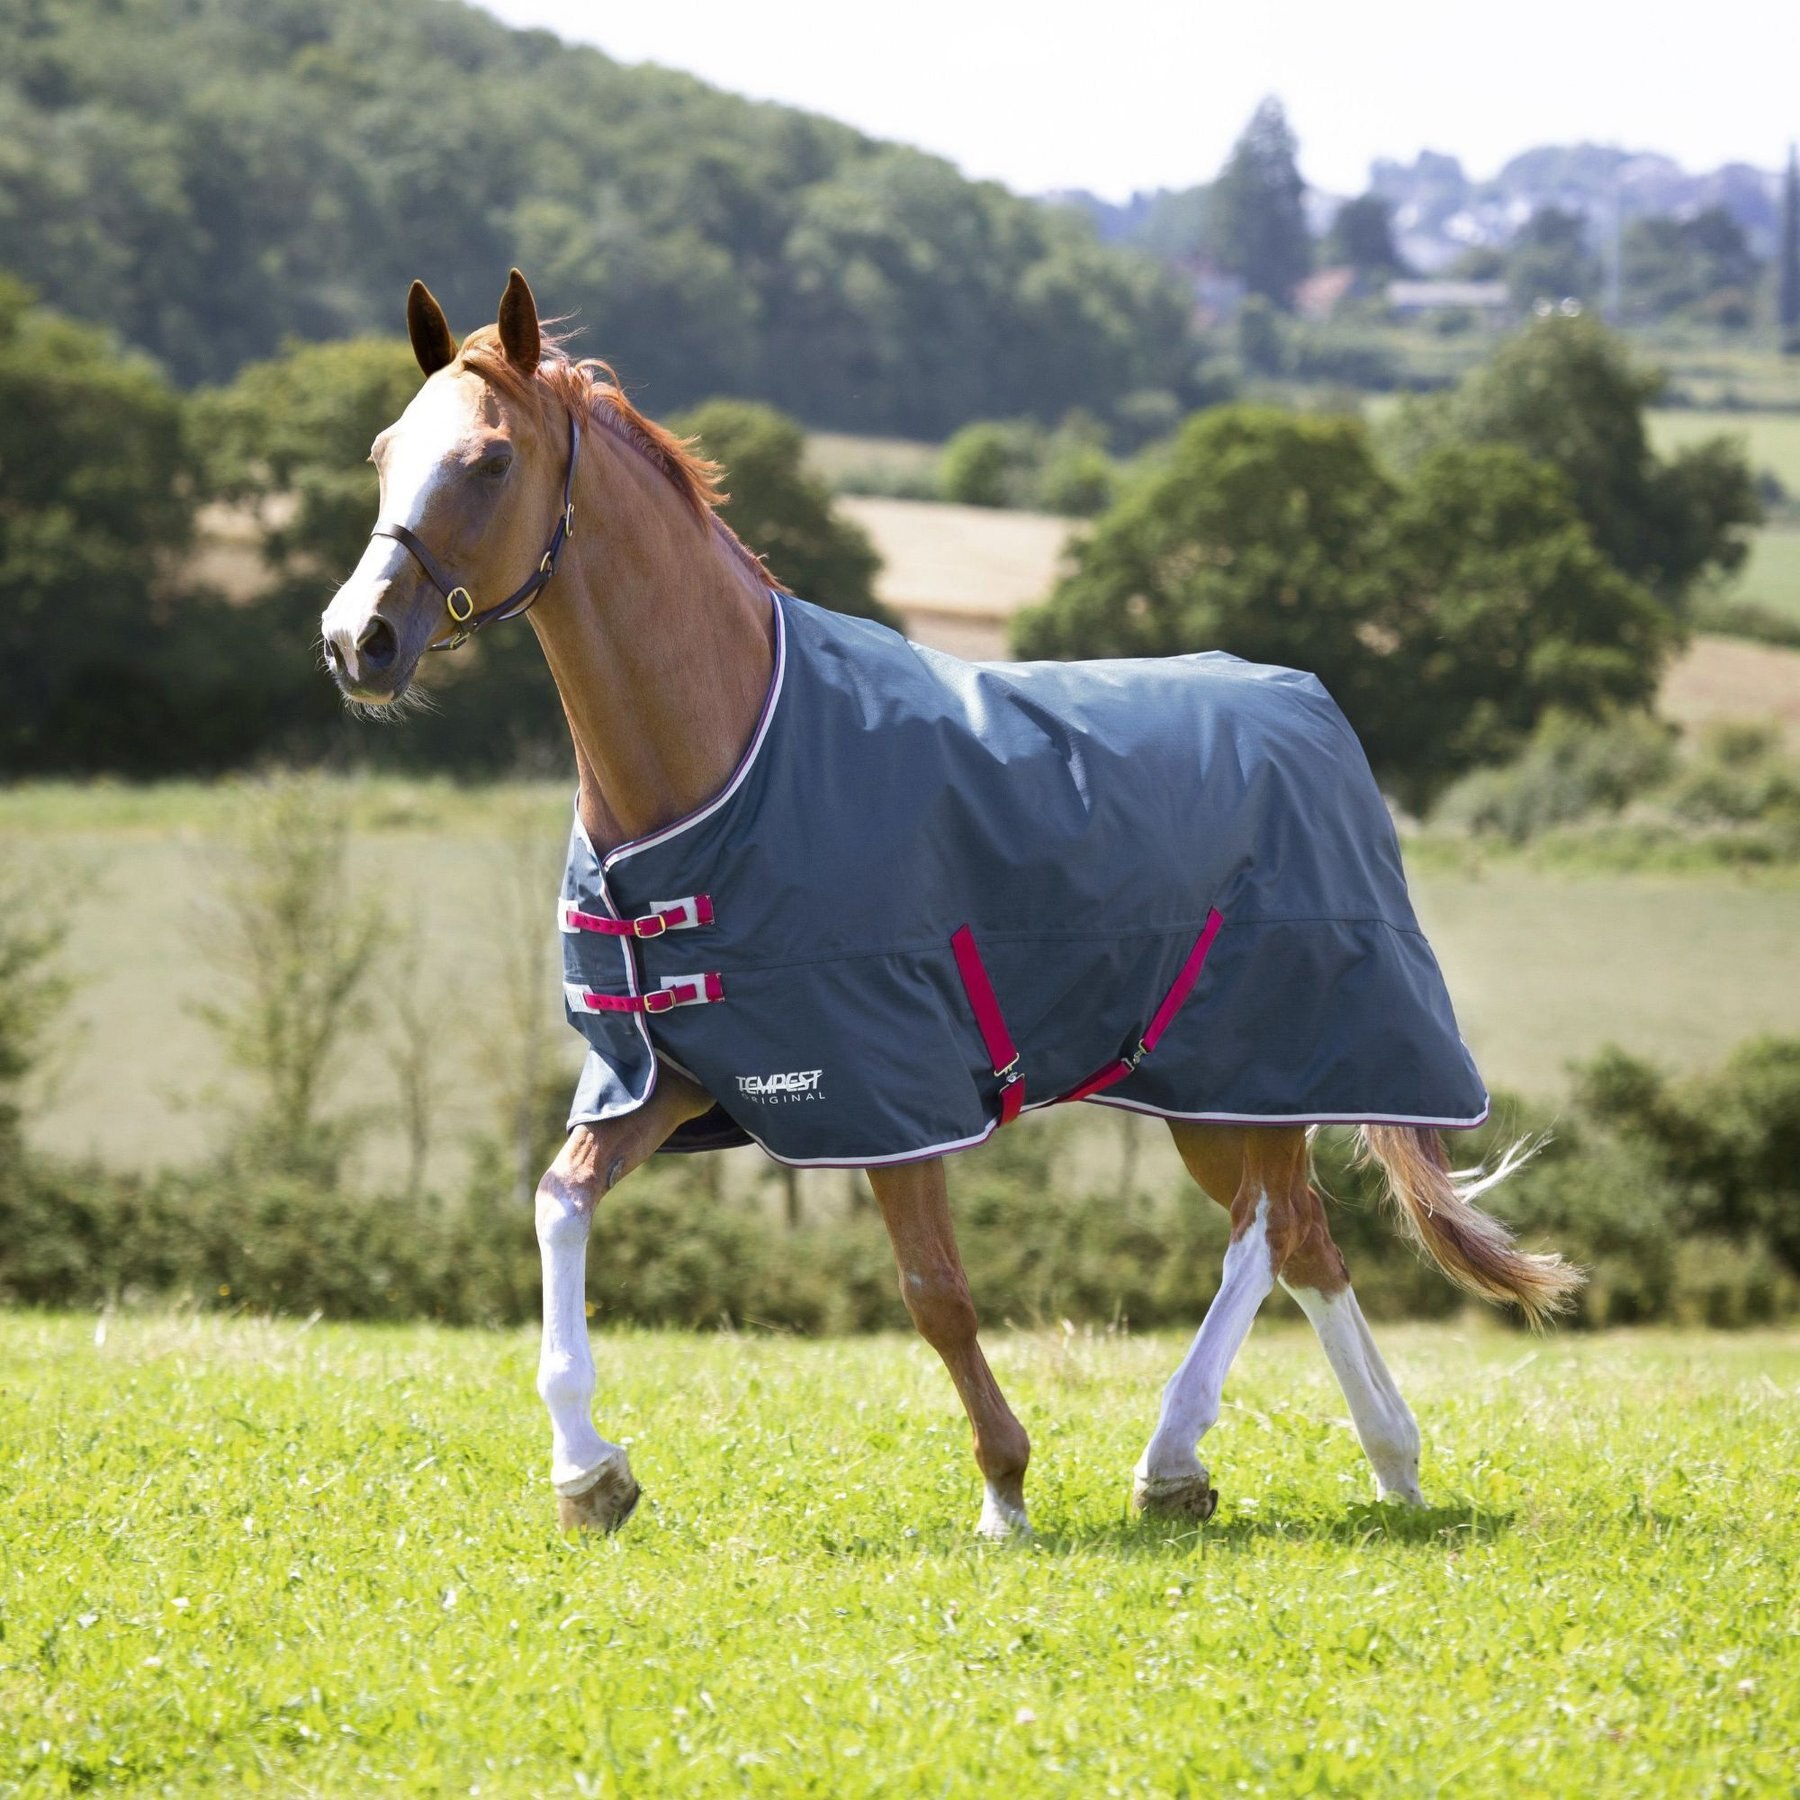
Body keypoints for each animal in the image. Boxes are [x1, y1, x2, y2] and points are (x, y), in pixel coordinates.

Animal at [321, 270, 1580, 1540]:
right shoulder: (669, 1074)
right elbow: (559, 1202)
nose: (353, 640)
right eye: (383, 454)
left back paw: (1175, 1459)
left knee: (1263, 1234)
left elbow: (935, 1292)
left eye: (488, 461)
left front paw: (1006, 1489)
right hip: (1219, 1091)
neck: (729, 756)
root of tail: (1315, 715)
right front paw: (591, 1475)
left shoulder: (891, 1088)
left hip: (1268, 1054)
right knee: (1304, 1239)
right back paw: (1392, 1463)